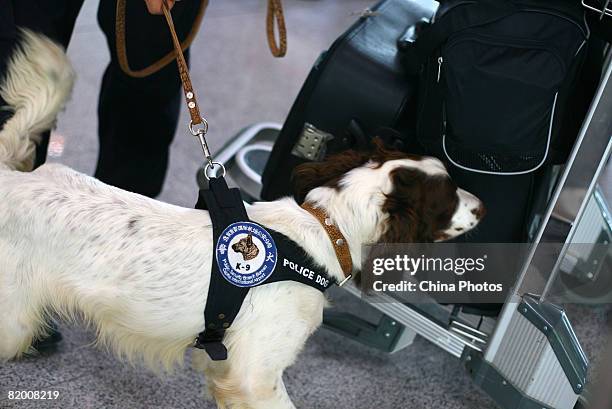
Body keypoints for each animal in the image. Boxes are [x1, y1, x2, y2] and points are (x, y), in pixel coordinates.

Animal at [1, 31, 482, 408]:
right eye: (448, 198)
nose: (484, 206)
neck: (324, 232)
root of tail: (12, 177)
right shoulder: (256, 374)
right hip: (14, 316)